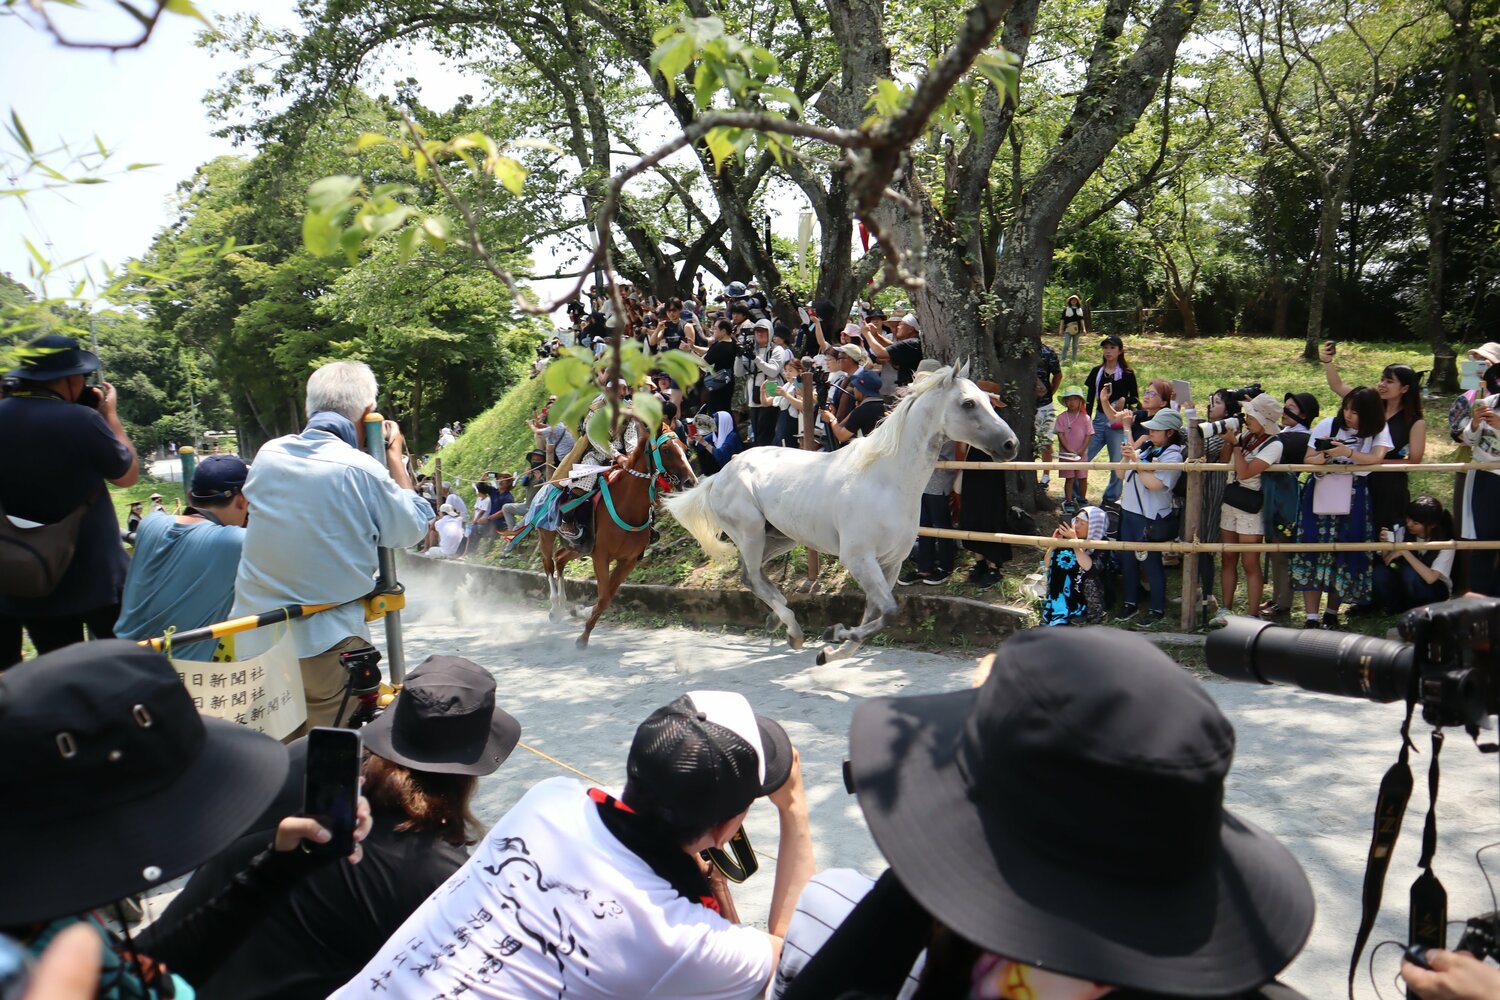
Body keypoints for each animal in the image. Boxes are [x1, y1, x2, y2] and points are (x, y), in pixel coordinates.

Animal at [538, 423, 697, 647]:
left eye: (685, 448)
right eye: (666, 450)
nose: (691, 482)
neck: (628, 507)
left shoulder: (627, 560)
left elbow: (606, 597)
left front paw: (583, 617)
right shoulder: (601, 556)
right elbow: (604, 596)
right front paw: (583, 638)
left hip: (579, 546)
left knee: (559, 558)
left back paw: (563, 605)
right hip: (546, 534)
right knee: (548, 564)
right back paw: (554, 608)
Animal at [664, 361, 1018, 664]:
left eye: (988, 400)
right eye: (968, 403)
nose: (1010, 444)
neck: (887, 481)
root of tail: (721, 473)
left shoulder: (891, 563)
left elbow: (877, 613)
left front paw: (832, 650)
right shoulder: (859, 558)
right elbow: (888, 612)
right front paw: (835, 634)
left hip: (779, 537)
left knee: (752, 576)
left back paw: (778, 621)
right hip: (750, 533)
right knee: (751, 575)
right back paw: (793, 629)